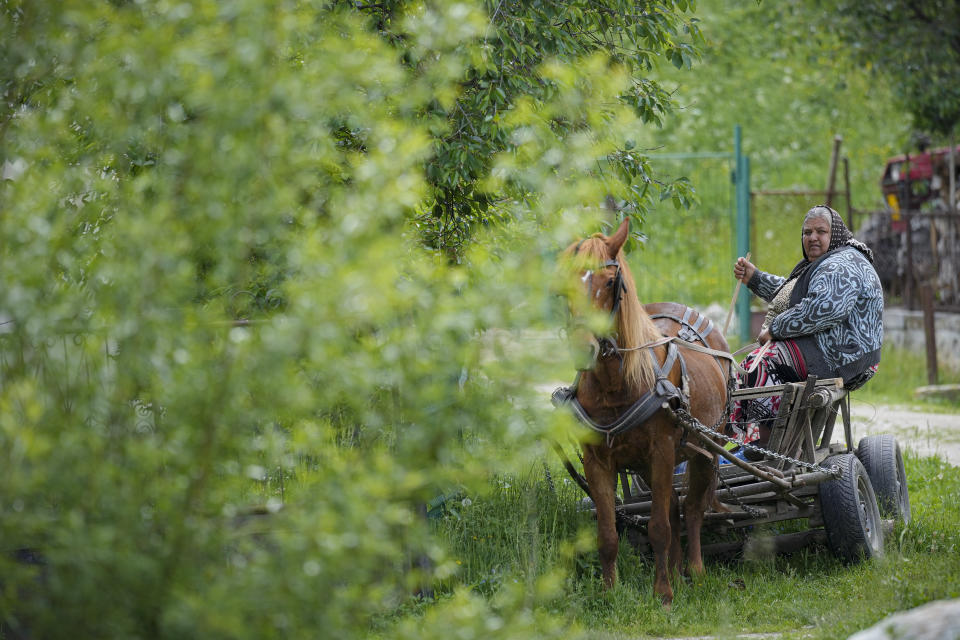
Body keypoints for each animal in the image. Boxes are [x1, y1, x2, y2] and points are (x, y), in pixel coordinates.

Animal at [560, 220, 732, 608]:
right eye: (565, 284)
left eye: (611, 282)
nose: (581, 349)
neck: (616, 386)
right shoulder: (597, 460)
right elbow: (608, 533)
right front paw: (610, 593)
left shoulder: (663, 450)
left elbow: (659, 528)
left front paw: (663, 594)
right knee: (673, 508)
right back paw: (679, 573)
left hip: (704, 449)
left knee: (692, 510)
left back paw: (694, 571)